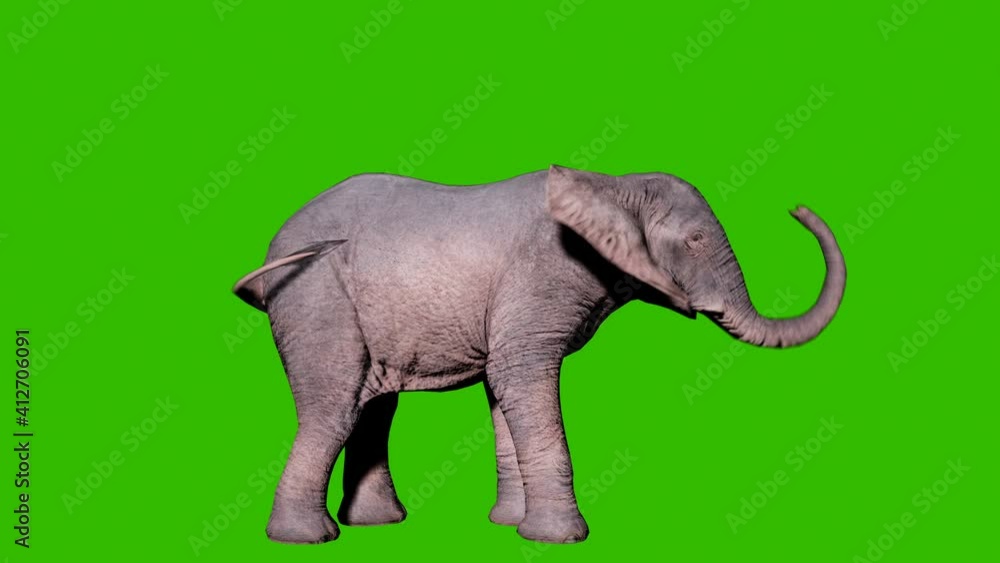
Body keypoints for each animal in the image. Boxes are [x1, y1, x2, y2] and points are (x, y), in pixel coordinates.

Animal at [231, 165, 846, 544]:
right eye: (694, 242)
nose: (796, 209)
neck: (611, 185)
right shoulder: (541, 280)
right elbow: (519, 378)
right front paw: (562, 539)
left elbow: (502, 390)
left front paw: (509, 526)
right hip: (315, 299)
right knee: (335, 408)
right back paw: (310, 539)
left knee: (373, 409)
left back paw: (377, 526)